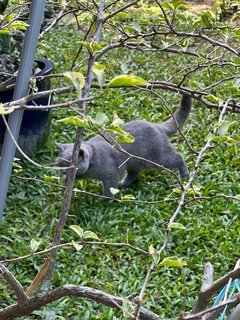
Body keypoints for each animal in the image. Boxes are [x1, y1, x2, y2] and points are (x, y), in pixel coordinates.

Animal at [55, 94, 191, 196]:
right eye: (59, 164)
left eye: (69, 165)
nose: (63, 173)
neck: (93, 160)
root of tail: (157, 125)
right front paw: (66, 184)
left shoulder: (111, 174)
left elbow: (109, 189)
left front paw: (102, 201)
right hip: (134, 162)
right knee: (133, 173)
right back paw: (123, 184)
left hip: (157, 158)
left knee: (178, 157)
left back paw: (184, 175)